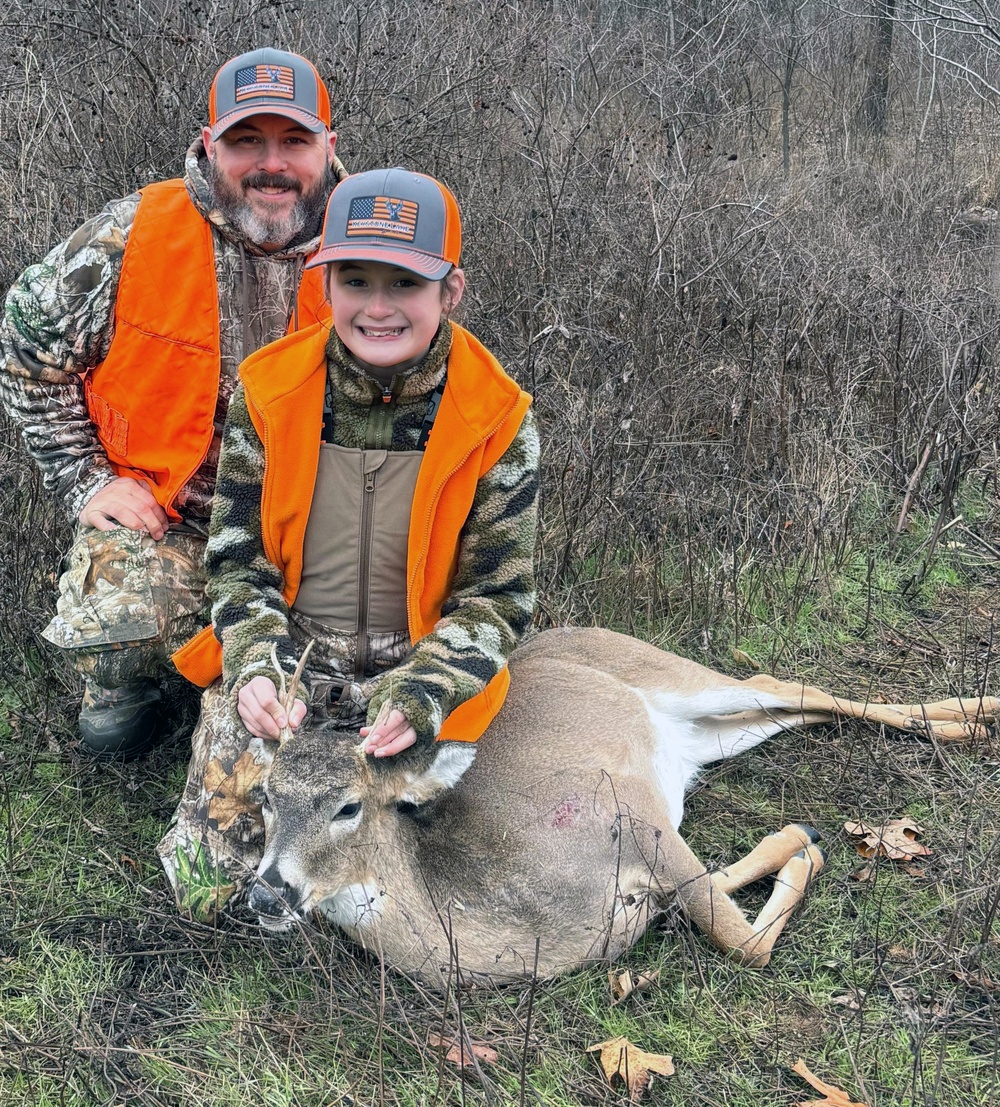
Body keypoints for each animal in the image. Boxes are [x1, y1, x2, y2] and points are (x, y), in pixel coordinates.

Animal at [247, 627, 998, 988]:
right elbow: (711, 905)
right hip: (704, 736)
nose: (266, 892)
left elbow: (742, 941)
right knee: (784, 700)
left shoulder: (627, 808)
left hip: (670, 675)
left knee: (789, 682)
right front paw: (796, 841)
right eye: (267, 796)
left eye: (348, 807)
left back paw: (976, 714)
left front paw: (804, 839)